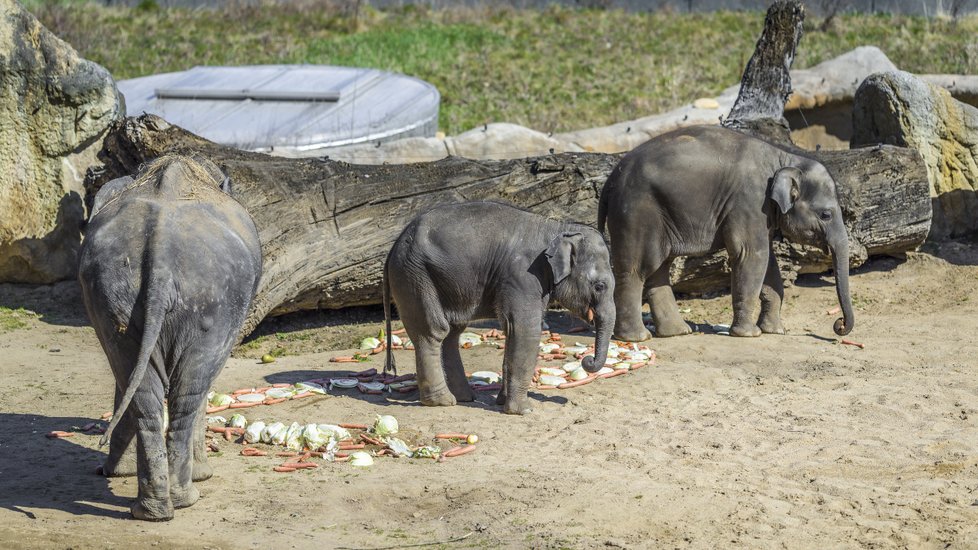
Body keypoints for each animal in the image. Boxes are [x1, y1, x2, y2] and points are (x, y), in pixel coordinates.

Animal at [79, 155, 264, 520]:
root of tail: (161, 252)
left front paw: (113, 473)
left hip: (114, 296)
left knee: (141, 391)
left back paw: (152, 511)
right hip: (214, 301)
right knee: (189, 391)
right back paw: (185, 497)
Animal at [380, 201, 608, 416]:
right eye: (599, 286)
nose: (587, 361)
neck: (558, 227)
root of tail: (393, 247)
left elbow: (511, 331)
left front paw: (502, 401)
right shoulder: (523, 276)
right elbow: (525, 331)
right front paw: (523, 410)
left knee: (451, 333)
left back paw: (464, 397)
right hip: (415, 277)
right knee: (433, 332)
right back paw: (442, 401)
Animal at [596, 125, 856, 340]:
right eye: (826, 214)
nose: (839, 325)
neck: (784, 158)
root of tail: (611, 181)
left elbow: (768, 262)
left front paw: (775, 331)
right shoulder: (750, 202)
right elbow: (751, 255)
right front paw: (749, 334)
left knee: (659, 268)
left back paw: (677, 332)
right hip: (637, 212)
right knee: (636, 269)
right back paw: (636, 338)